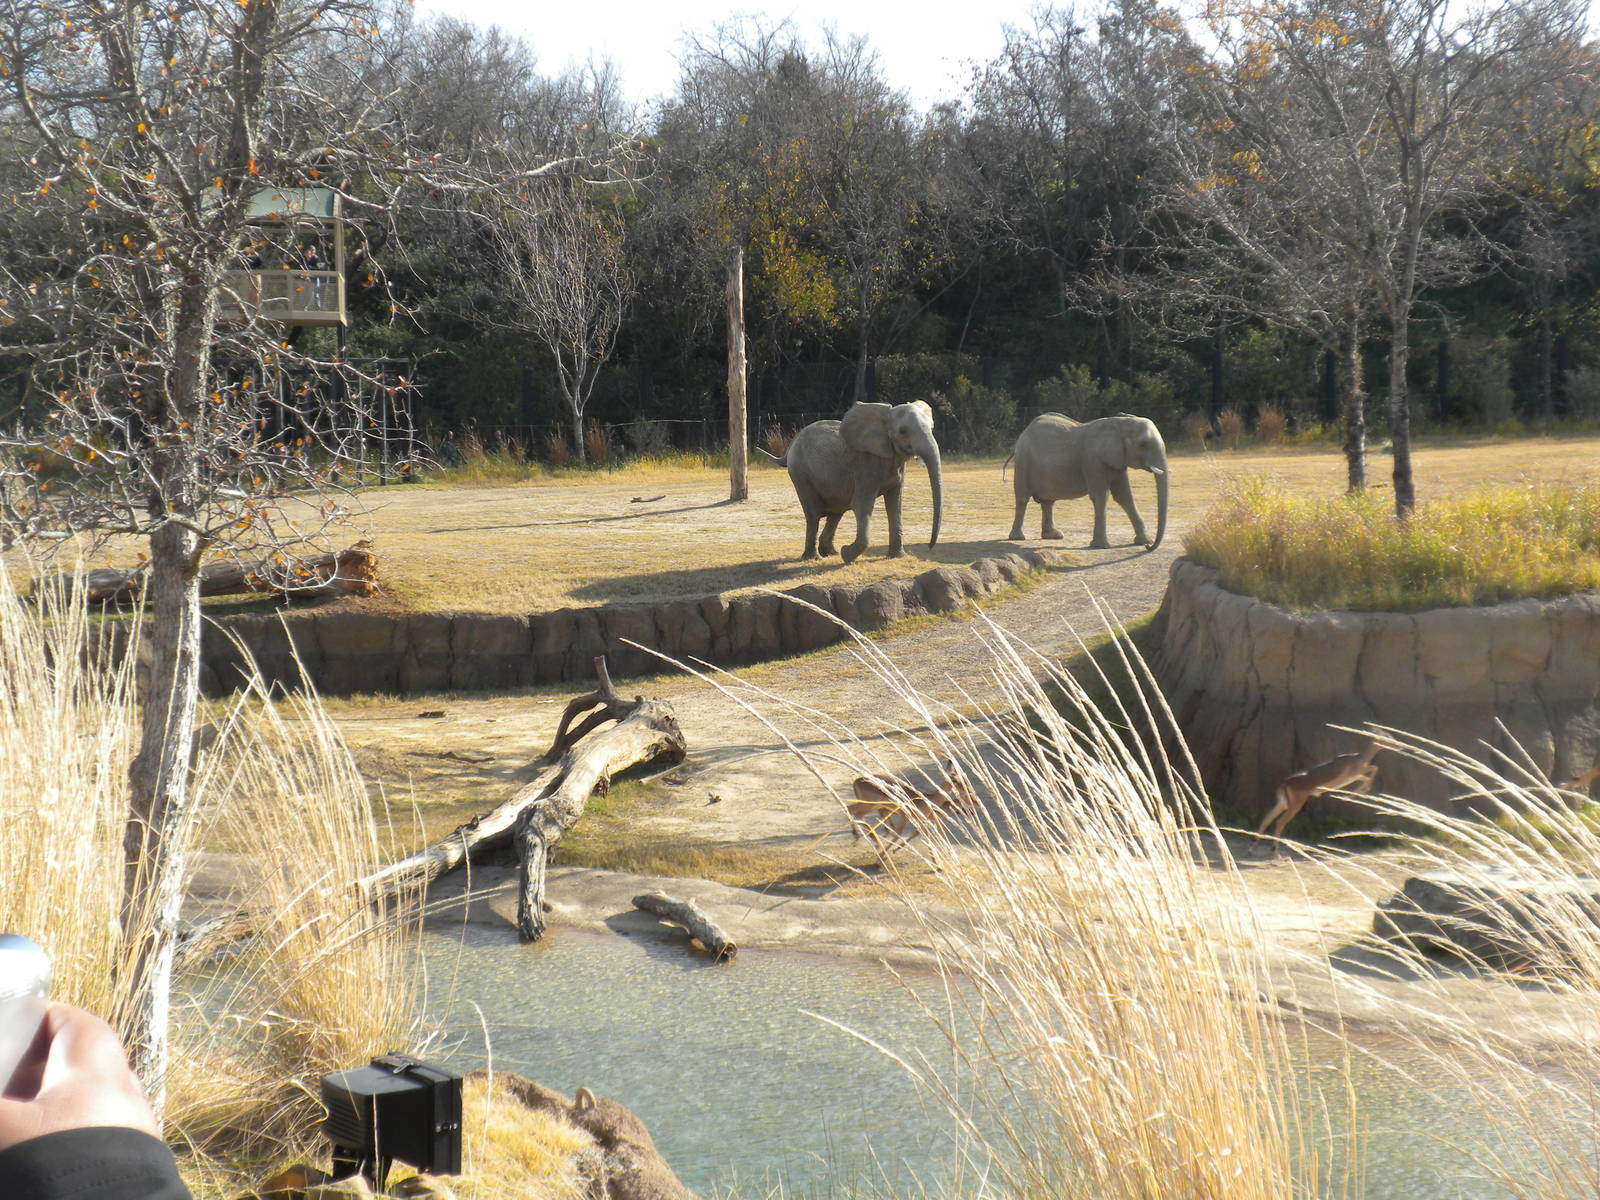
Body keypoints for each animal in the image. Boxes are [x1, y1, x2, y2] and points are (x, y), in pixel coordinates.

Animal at [777, 400, 943, 563]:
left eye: (932, 428)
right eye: (903, 431)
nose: (929, 547)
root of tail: (792, 443)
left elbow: (895, 505)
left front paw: (897, 556)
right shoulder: (865, 465)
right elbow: (861, 505)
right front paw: (846, 554)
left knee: (837, 511)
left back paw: (831, 553)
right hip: (800, 473)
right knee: (814, 512)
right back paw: (813, 558)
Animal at [848, 760, 978, 854]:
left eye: (962, 778)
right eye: (954, 780)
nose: (969, 791)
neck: (930, 799)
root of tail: (857, 781)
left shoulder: (923, 820)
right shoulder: (910, 817)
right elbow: (901, 834)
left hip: (871, 805)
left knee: (852, 810)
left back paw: (862, 836)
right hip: (869, 805)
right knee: (856, 813)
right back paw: (870, 840)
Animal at [1007, 413, 1168, 550]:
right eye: (1143, 445)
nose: (1148, 547)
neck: (1120, 423)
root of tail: (1023, 433)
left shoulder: (1118, 461)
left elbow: (1124, 496)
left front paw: (1143, 541)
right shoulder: (1092, 461)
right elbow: (1100, 496)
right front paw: (1101, 546)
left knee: (1048, 502)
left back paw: (1053, 535)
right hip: (1023, 461)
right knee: (1023, 498)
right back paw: (1018, 538)